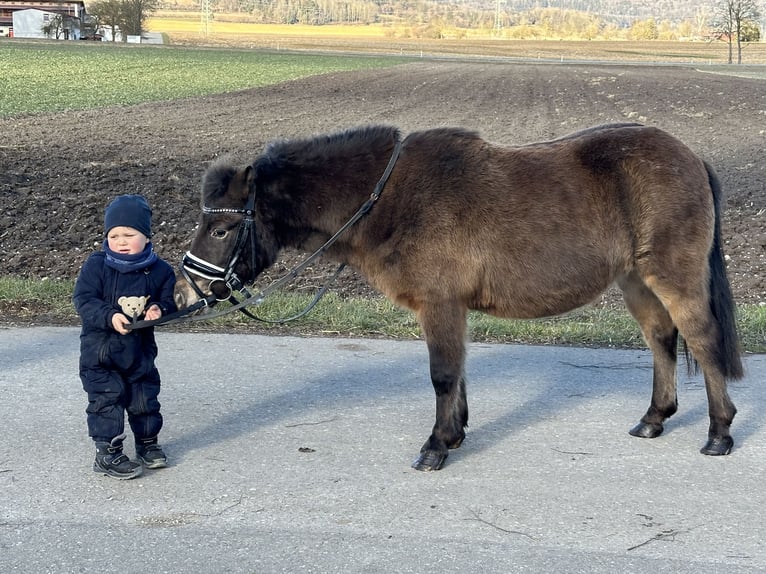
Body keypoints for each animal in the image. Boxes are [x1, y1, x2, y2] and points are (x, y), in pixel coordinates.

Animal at [176, 124, 744, 470]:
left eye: (221, 229)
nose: (187, 290)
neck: (392, 197)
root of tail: (689, 155)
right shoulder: (451, 309)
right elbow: (459, 375)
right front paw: (455, 434)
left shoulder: (440, 305)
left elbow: (443, 375)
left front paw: (435, 447)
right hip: (635, 281)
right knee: (662, 339)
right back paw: (654, 418)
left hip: (673, 277)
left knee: (703, 341)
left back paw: (719, 432)